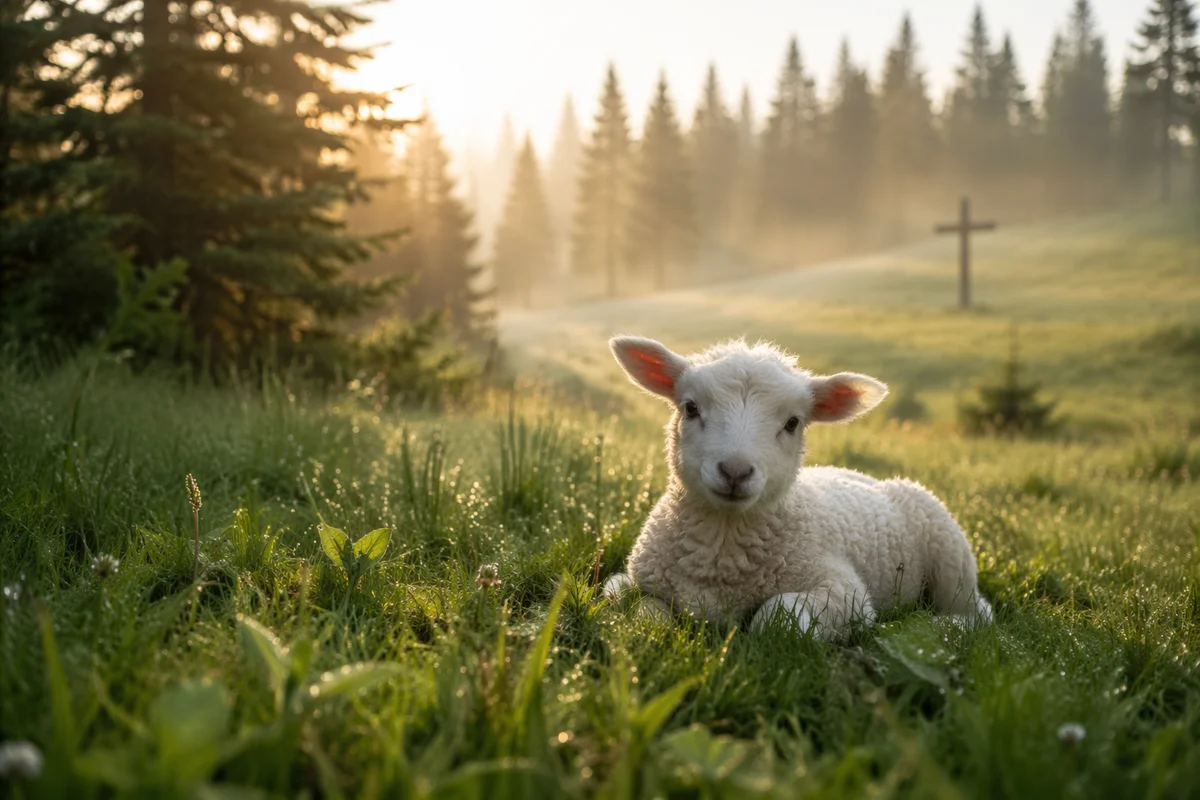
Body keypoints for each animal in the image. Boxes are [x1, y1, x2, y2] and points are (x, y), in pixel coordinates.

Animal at [602, 335, 993, 639]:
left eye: (792, 423)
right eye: (691, 408)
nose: (735, 471)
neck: (723, 541)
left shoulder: (845, 593)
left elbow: (775, 618)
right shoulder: (641, 582)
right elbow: (641, 613)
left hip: (952, 557)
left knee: (978, 613)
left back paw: (945, 627)